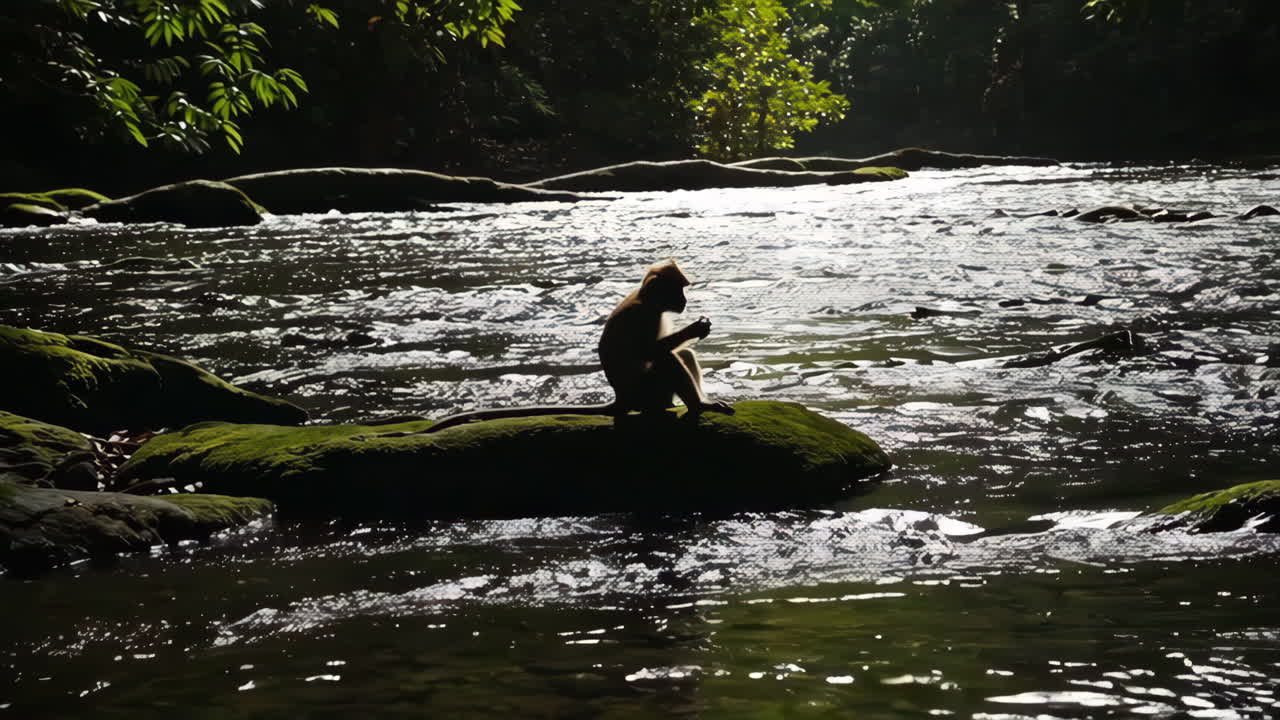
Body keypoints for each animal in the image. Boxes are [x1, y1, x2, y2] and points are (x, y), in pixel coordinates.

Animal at [420, 259, 734, 434]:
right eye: (679, 289)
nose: (684, 300)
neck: (646, 300)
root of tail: (622, 398)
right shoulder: (644, 316)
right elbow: (650, 353)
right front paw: (696, 328)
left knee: (680, 354)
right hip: (645, 393)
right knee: (666, 359)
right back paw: (699, 405)